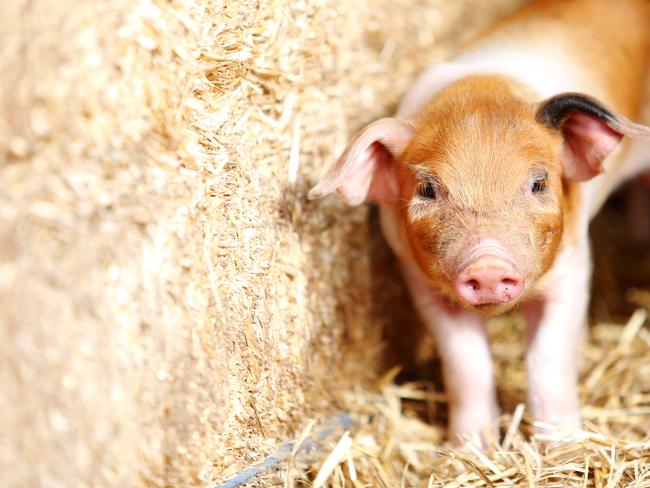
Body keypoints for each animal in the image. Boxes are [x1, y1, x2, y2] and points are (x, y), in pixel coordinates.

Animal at [308, 0, 648, 444]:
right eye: (427, 189)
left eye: (539, 183)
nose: (487, 265)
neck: (482, 90)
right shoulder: (420, 284)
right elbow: (467, 366)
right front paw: (471, 447)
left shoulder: (574, 268)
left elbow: (545, 360)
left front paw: (562, 447)